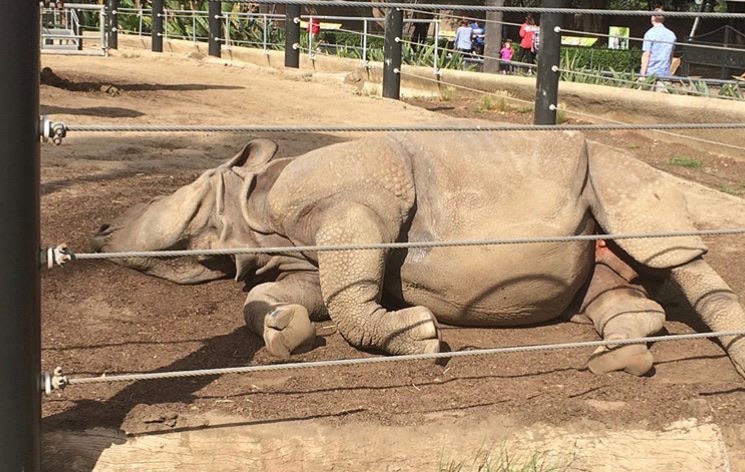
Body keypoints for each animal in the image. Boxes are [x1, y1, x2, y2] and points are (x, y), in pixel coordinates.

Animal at [91, 129, 745, 378]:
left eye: (177, 198)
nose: (98, 230)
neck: (254, 209)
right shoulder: (301, 258)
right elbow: (280, 296)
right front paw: (286, 332)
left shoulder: (357, 205)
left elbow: (351, 298)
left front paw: (420, 337)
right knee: (614, 282)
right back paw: (619, 361)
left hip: (614, 169)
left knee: (670, 251)